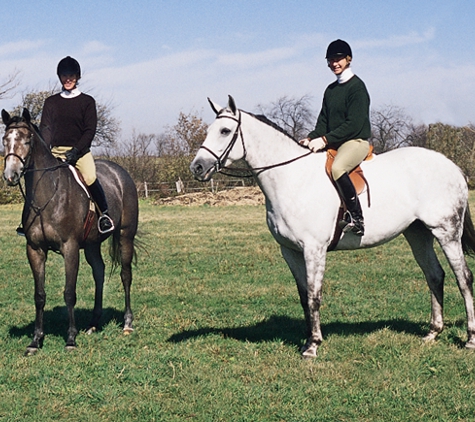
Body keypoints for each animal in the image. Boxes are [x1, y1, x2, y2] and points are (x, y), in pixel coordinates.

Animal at [191, 95, 475, 356]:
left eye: (225, 131)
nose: (197, 167)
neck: (291, 178)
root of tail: (452, 166)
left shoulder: (314, 249)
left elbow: (314, 295)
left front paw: (313, 346)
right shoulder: (290, 251)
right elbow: (303, 296)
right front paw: (307, 340)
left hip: (446, 232)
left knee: (463, 278)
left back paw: (470, 339)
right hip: (417, 234)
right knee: (435, 275)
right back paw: (432, 333)